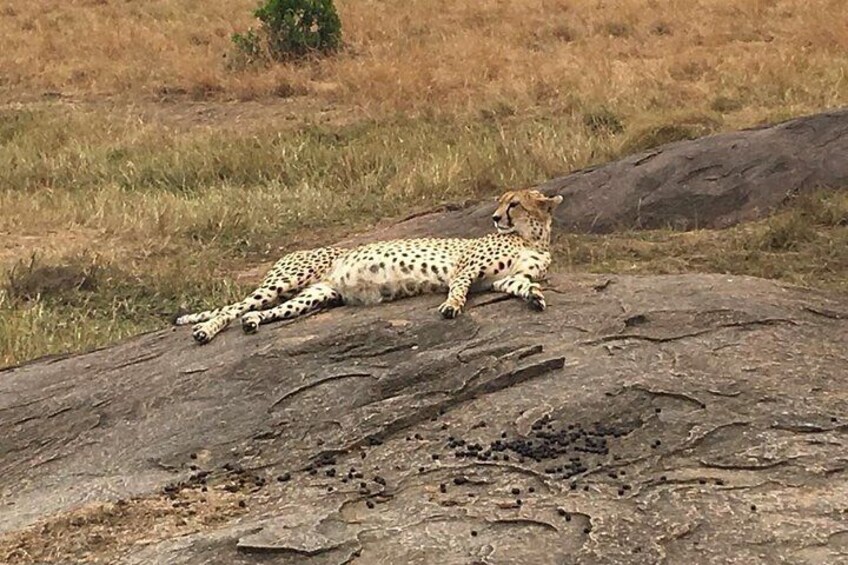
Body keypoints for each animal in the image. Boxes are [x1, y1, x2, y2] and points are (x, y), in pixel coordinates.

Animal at [174, 188, 564, 344]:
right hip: (285, 280)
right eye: (502, 203)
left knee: (261, 313)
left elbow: (523, 285)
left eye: (514, 204)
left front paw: (536, 298)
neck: (533, 238)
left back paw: (253, 323)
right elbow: (458, 290)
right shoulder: (466, 269)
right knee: (233, 309)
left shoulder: (503, 281)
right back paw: (204, 330)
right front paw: (451, 307)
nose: (495, 218)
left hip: (315, 295)